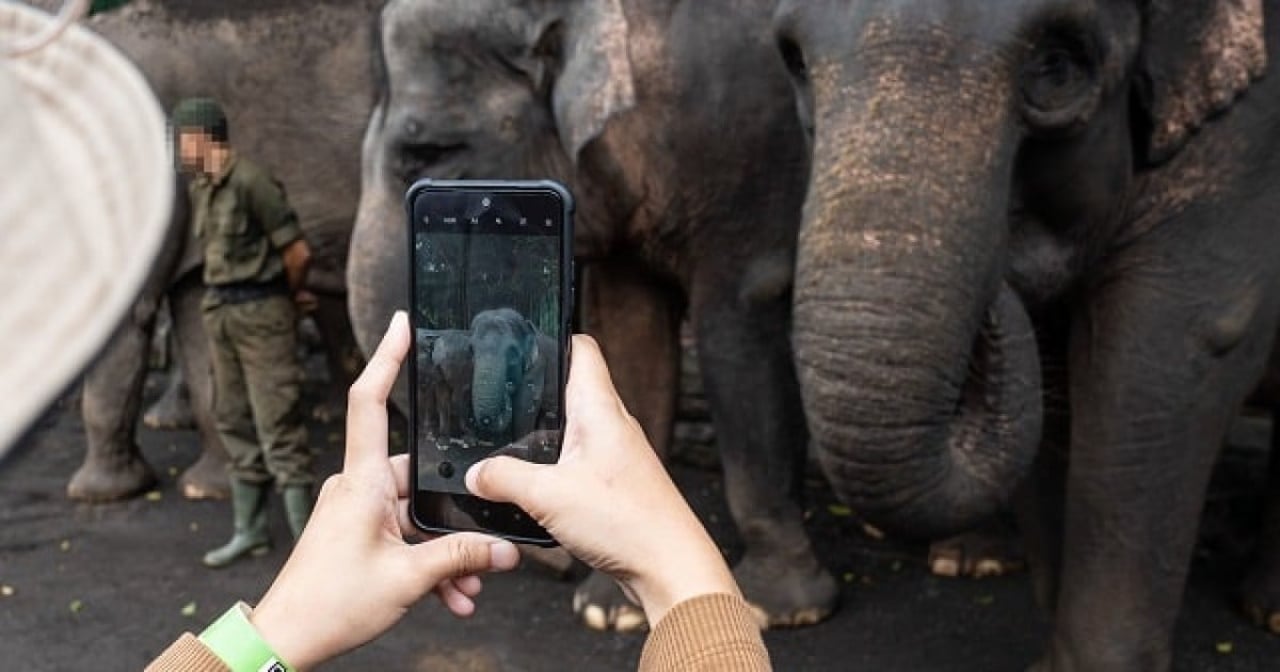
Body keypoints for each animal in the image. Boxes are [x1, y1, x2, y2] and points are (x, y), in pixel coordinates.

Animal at [350, 0, 829, 629]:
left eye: (426, 153)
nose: (555, 564)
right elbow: (632, 332)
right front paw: (609, 611)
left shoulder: (747, 152)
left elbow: (741, 313)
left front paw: (778, 609)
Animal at [768, 0, 1280, 665]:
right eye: (797, 61)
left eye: (1057, 66)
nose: (1004, 261)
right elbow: (1052, 387)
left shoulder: (1253, 142)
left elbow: (1169, 349)